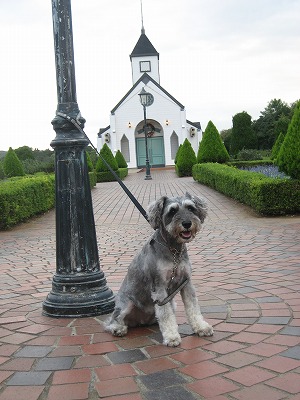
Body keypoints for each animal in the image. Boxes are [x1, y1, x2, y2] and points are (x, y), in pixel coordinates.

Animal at [105, 192, 213, 346]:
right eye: (172, 211)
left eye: (190, 208)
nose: (187, 223)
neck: (173, 250)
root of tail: (140, 321)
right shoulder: (159, 288)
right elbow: (166, 315)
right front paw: (172, 337)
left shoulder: (186, 283)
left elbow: (193, 307)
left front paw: (201, 327)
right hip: (127, 305)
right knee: (113, 319)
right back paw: (117, 328)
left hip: (172, 303)